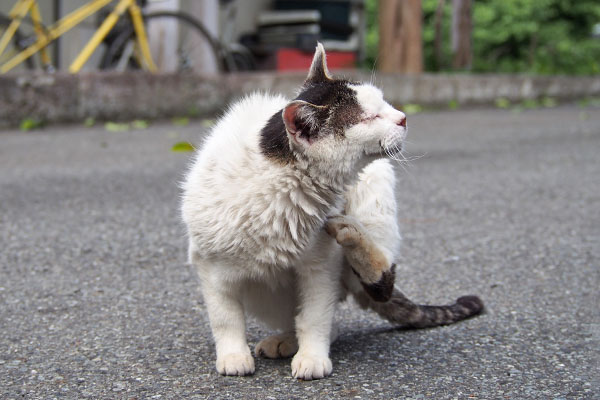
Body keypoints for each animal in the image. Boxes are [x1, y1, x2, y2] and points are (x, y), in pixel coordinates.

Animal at [182, 43, 482, 382]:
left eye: (384, 103)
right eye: (370, 117)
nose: (403, 118)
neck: (281, 181)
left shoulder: (321, 265)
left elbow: (315, 316)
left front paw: (312, 356)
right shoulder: (211, 266)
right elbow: (225, 317)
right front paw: (233, 355)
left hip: (375, 189)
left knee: (380, 283)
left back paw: (352, 236)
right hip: (263, 294)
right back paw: (285, 338)